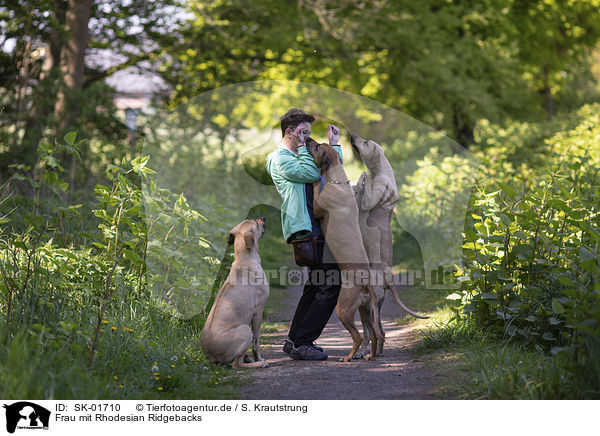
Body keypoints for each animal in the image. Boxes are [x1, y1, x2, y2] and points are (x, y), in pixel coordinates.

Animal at [200, 217, 268, 368]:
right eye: (256, 223)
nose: (263, 218)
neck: (244, 259)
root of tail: (210, 355)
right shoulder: (258, 312)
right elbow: (256, 343)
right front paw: (259, 359)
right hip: (245, 329)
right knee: (237, 365)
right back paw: (257, 364)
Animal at [304, 139, 384, 362]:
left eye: (317, 147)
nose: (308, 140)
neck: (338, 181)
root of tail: (367, 282)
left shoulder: (318, 206)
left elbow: (316, 186)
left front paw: (316, 177)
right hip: (365, 309)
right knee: (373, 334)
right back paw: (370, 356)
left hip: (344, 308)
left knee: (359, 336)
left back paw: (348, 357)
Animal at [350, 134, 428, 358]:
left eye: (366, 143)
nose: (352, 136)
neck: (380, 171)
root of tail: (388, 277)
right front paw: (357, 184)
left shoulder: (368, 200)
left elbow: (365, 187)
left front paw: (363, 177)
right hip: (370, 306)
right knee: (377, 332)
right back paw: (373, 353)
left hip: (370, 306)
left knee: (375, 332)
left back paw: (370, 353)